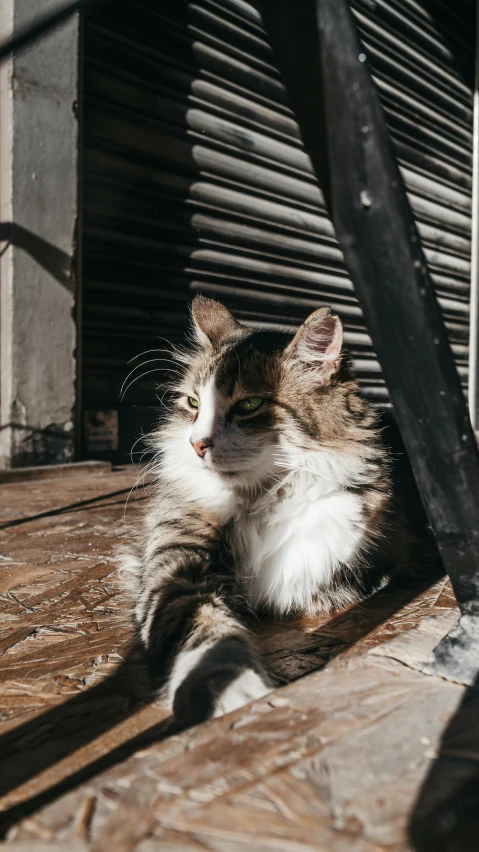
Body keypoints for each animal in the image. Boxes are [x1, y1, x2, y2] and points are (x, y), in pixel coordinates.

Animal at [121, 296, 436, 728]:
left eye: (249, 404)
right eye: (193, 403)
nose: (196, 444)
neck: (260, 498)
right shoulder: (175, 565)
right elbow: (207, 632)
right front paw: (230, 688)